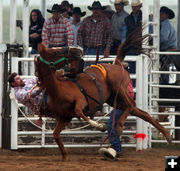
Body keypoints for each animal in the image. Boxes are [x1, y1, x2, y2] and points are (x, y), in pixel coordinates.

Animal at [34, 29, 172, 160]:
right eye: (55, 53)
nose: (76, 50)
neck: (59, 89)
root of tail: (117, 64)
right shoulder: (65, 116)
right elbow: (56, 134)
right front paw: (64, 156)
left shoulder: (81, 103)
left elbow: (80, 113)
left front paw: (100, 125)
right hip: (114, 100)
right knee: (140, 112)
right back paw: (167, 135)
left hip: (119, 88)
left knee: (132, 104)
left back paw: (120, 127)